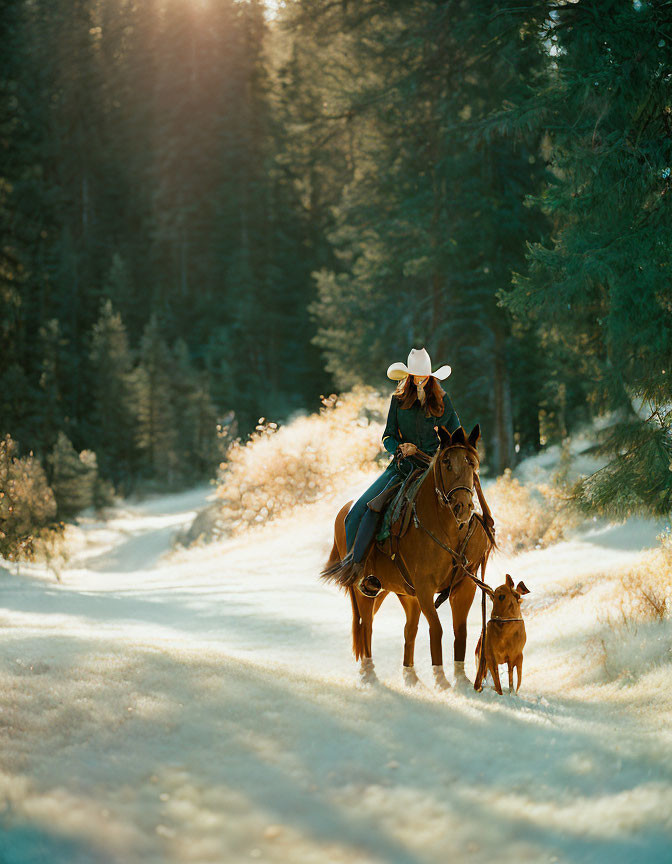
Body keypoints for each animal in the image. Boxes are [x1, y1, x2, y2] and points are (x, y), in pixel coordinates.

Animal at [322, 426, 496, 688]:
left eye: (472, 463)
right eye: (446, 462)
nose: (463, 507)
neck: (445, 530)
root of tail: (344, 511)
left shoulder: (465, 585)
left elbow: (460, 630)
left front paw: (461, 679)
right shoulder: (424, 587)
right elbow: (437, 628)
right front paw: (441, 680)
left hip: (400, 592)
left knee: (407, 628)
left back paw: (410, 677)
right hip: (365, 589)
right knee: (366, 624)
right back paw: (369, 673)